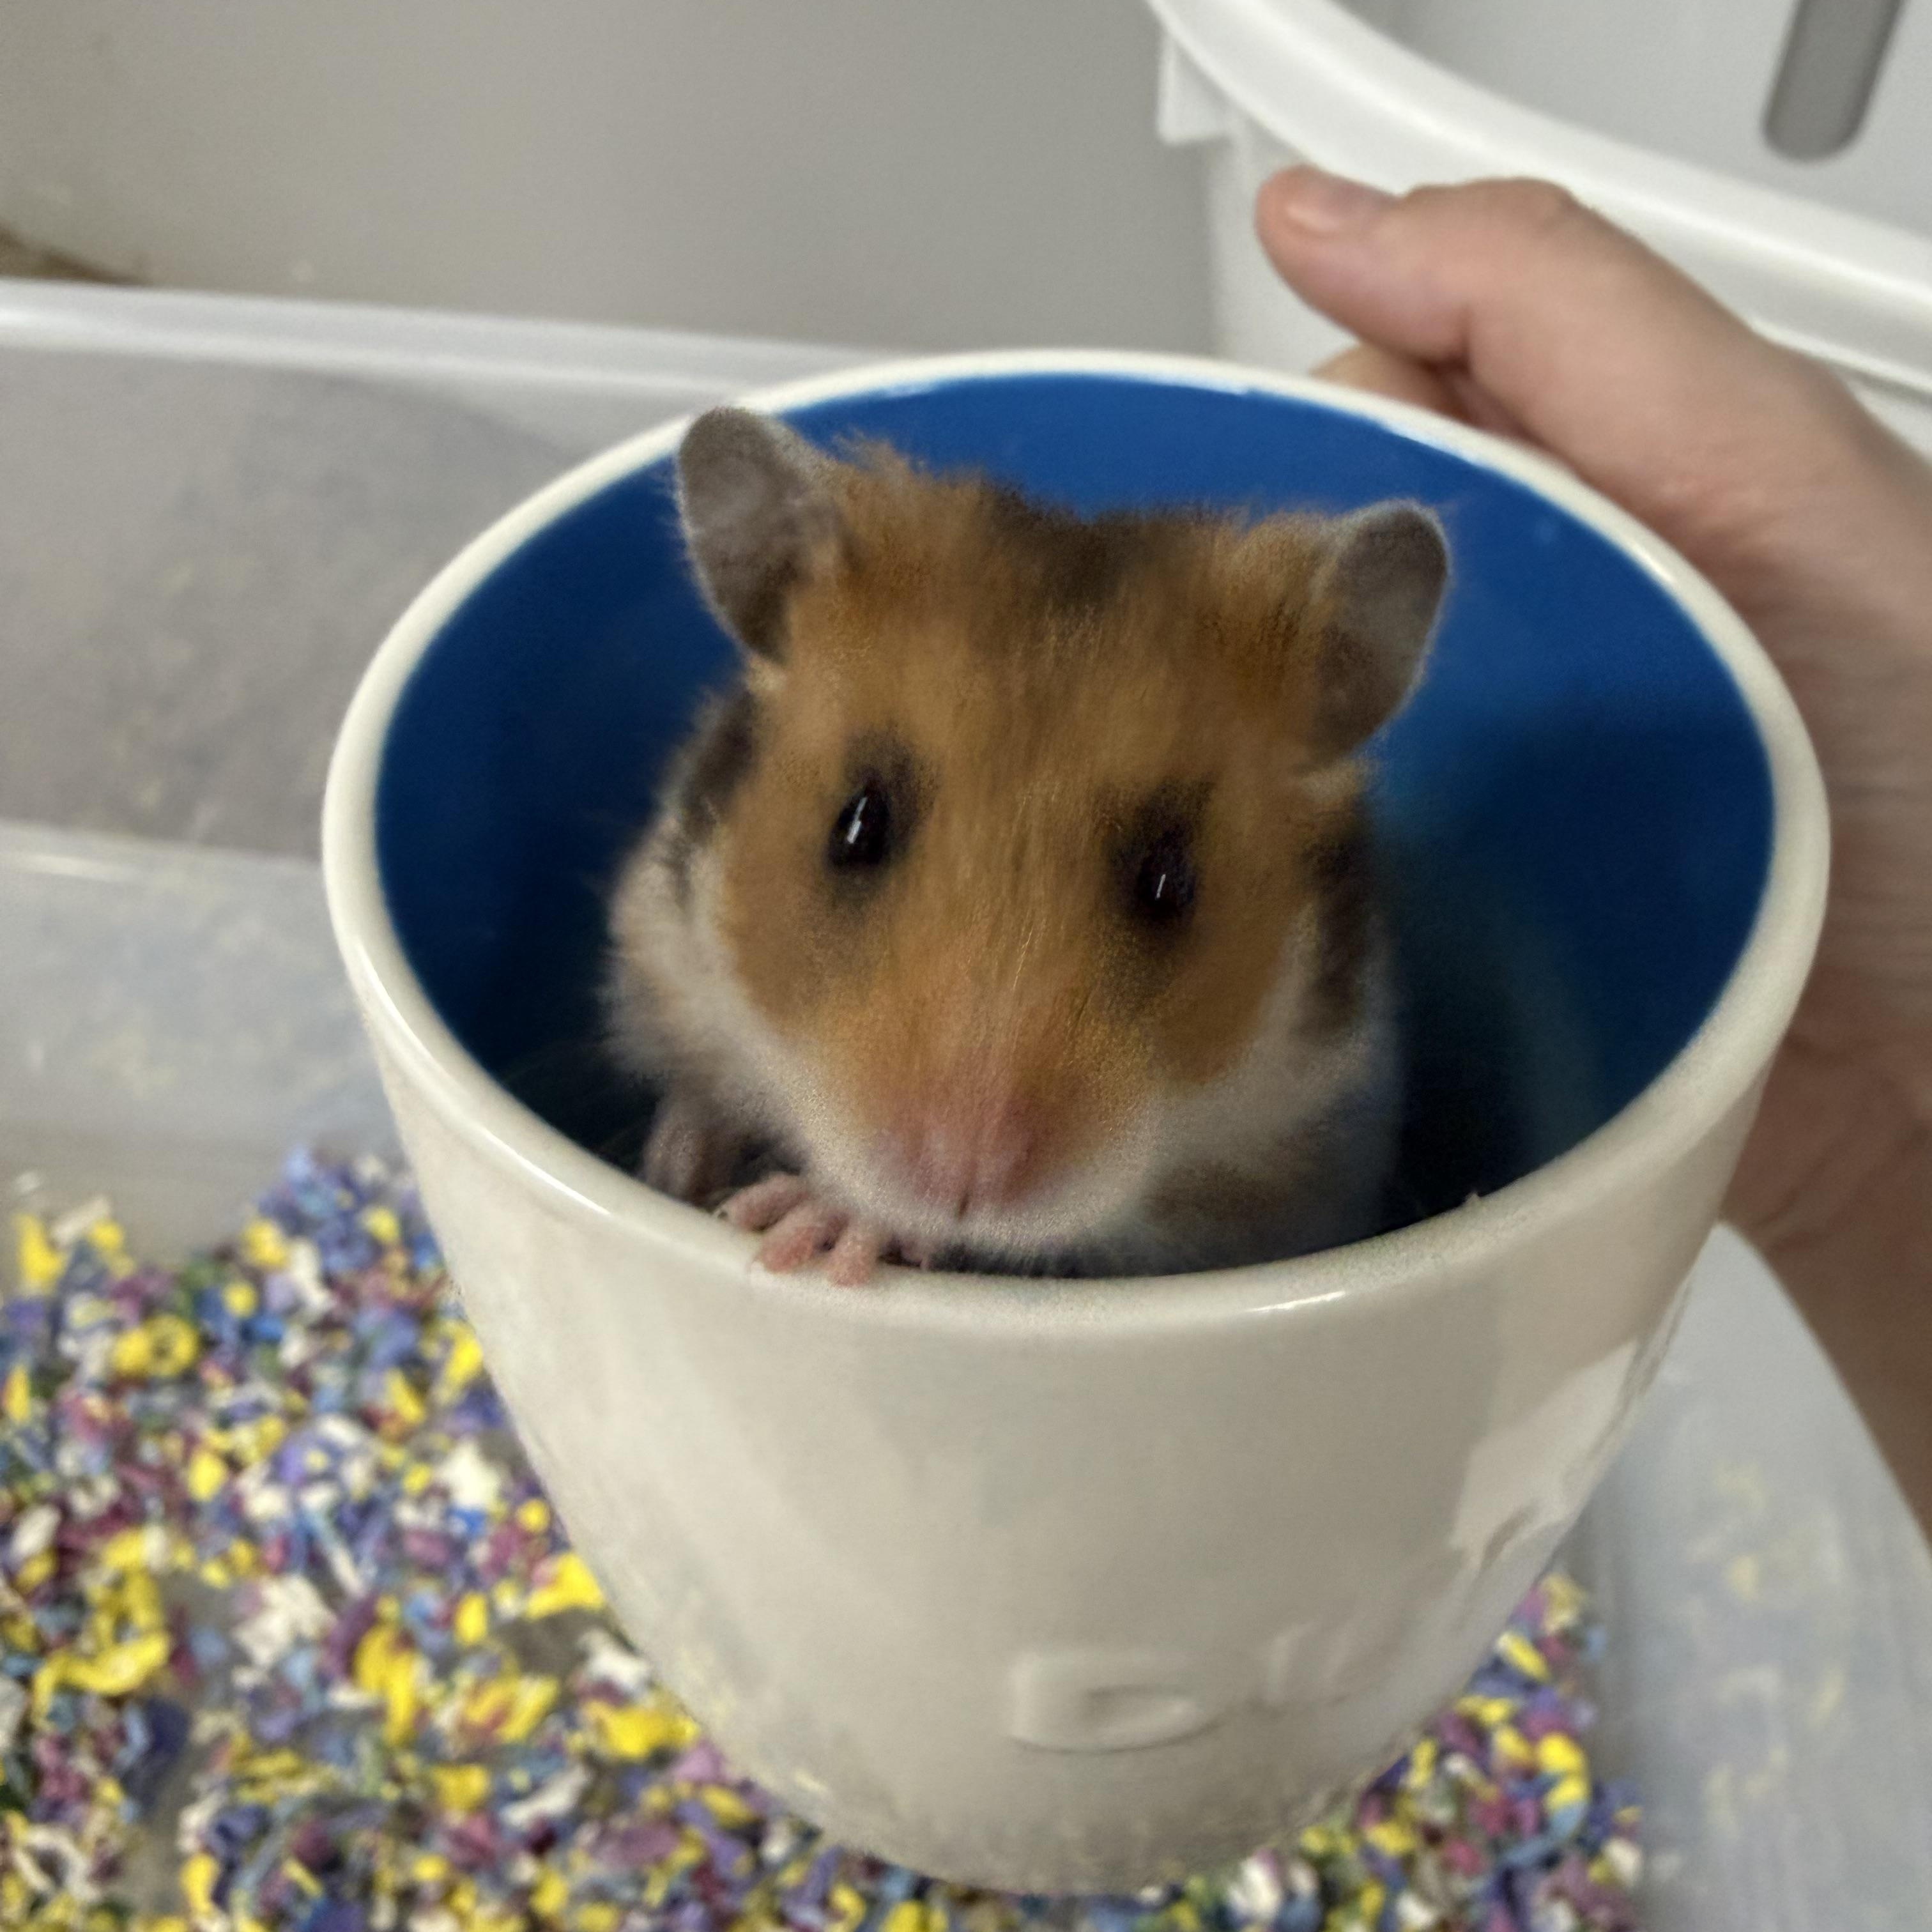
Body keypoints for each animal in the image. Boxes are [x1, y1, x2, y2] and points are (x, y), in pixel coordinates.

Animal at [604, 406, 1448, 1285]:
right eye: (856, 827)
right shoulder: (659, 949)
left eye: (1171, 882)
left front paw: (822, 1228)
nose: (962, 1176)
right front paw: (686, 1167)